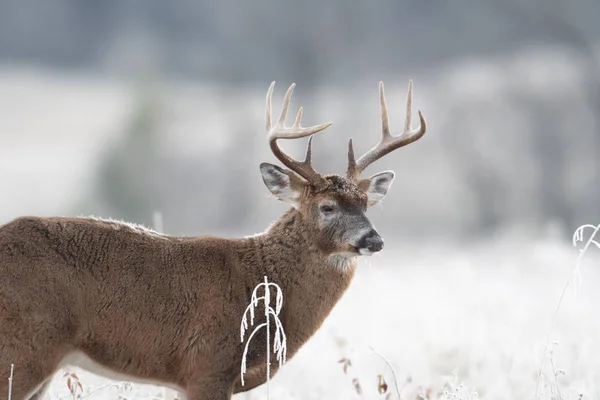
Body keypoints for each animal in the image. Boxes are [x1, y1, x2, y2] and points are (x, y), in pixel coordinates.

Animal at [0, 79, 426, 400]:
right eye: (327, 206)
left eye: (366, 204)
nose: (374, 239)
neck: (261, 281)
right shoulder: (206, 366)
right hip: (25, 348)